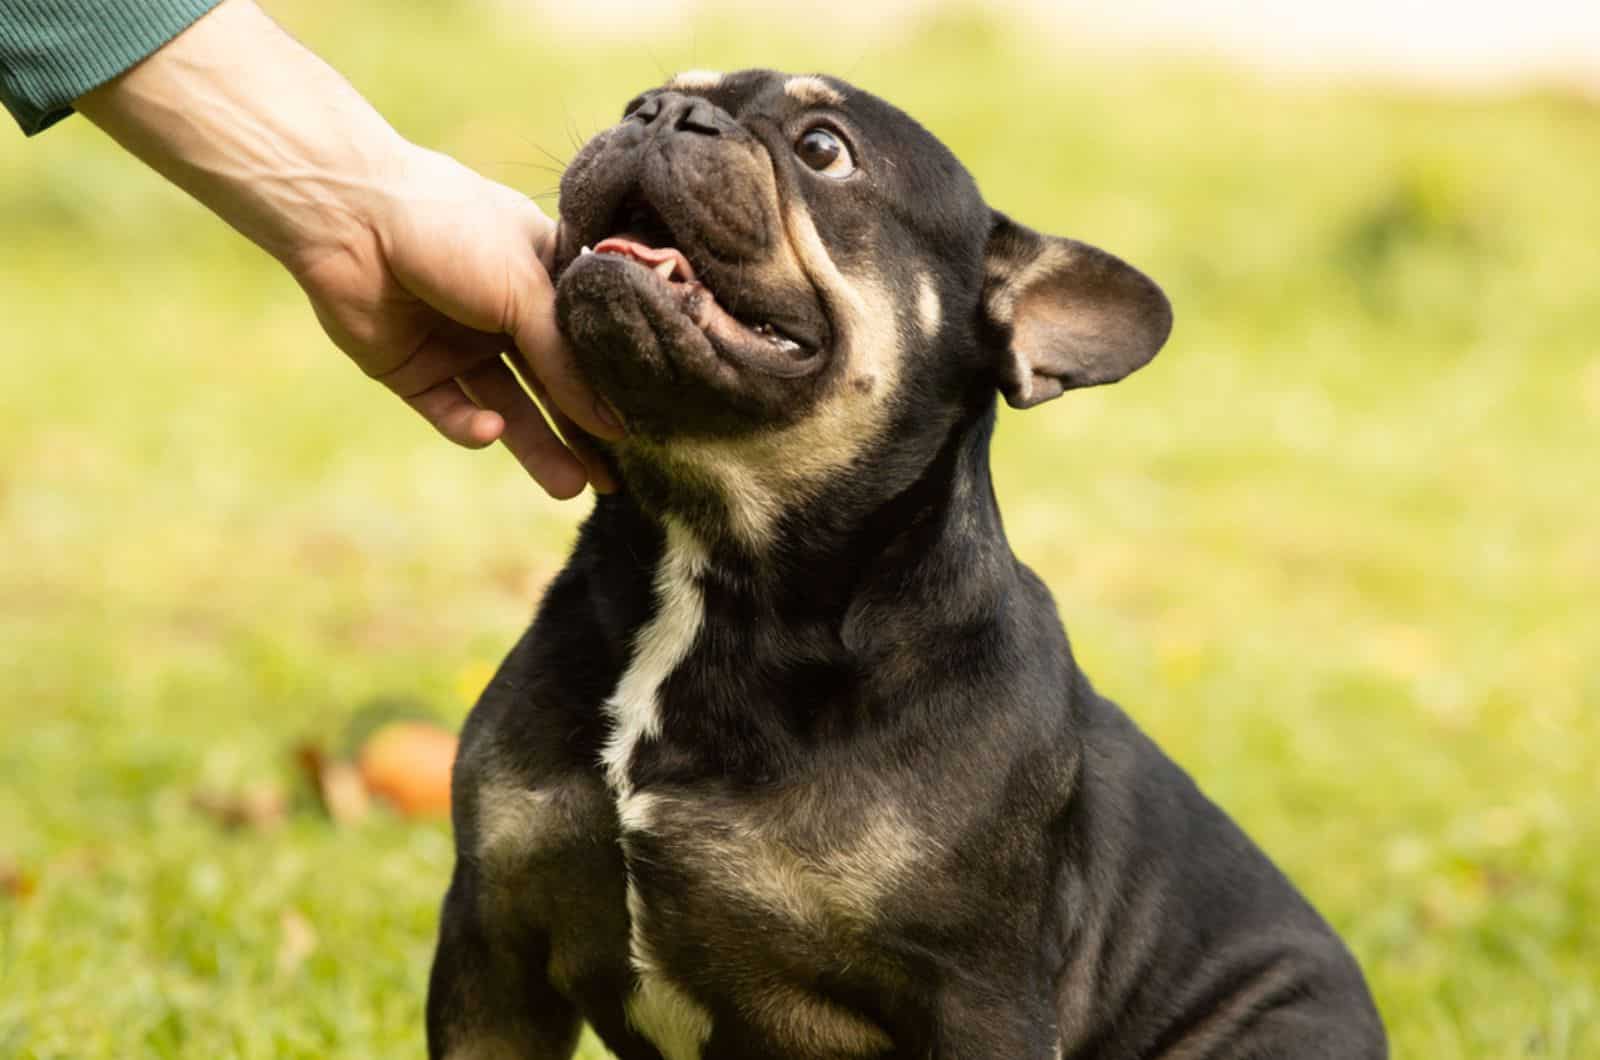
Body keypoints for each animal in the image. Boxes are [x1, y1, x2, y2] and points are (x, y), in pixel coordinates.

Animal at [428, 70, 1388, 1056]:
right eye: (639, 102)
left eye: (823, 150)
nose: (662, 117)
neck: (711, 557)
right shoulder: (493, 941)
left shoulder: (977, 997)